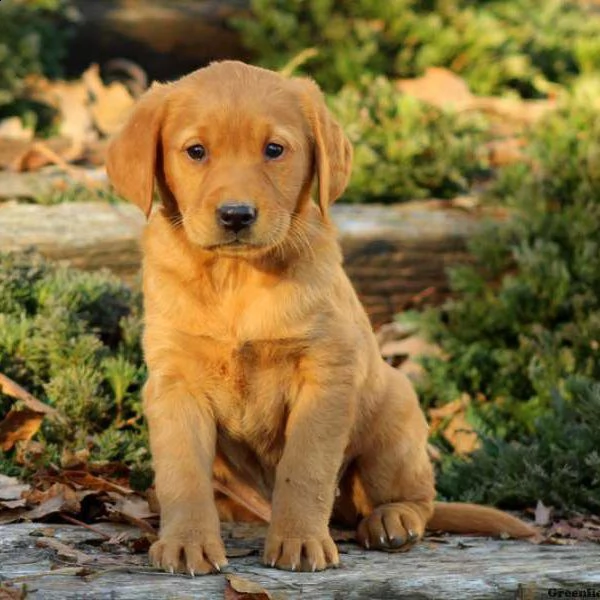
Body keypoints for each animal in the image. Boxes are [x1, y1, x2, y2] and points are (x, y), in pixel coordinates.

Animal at [105, 61, 532, 576]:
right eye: (196, 151)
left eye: (274, 149)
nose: (236, 215)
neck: (236, 279)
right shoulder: (175, 382)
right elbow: (182, 474)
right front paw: (187, 542)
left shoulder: (325, 377)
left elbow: (304, 469)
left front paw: (299, 540)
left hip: (395, 414)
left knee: (415, 499)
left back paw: (393, 520)